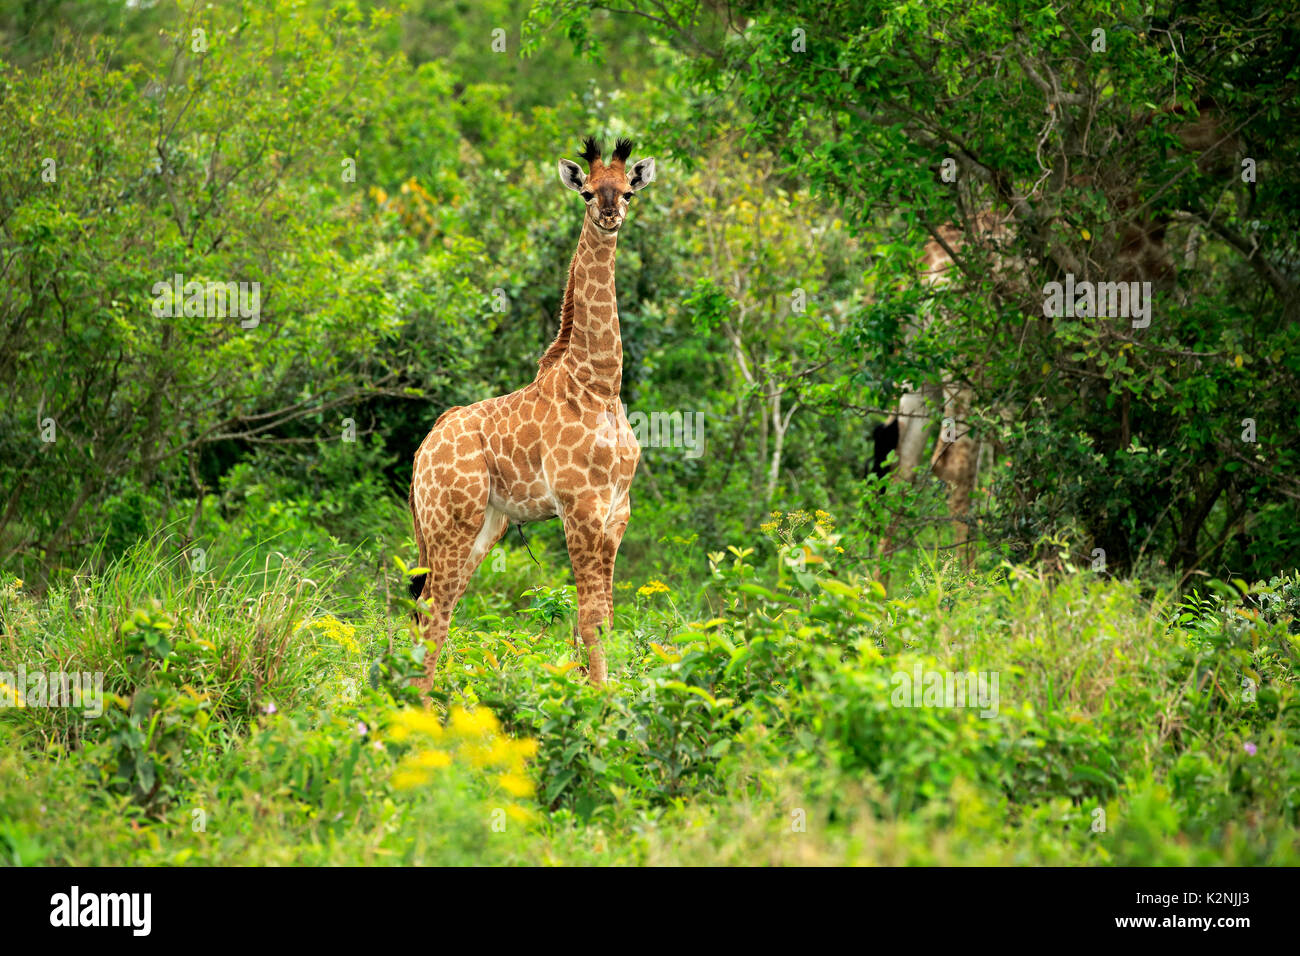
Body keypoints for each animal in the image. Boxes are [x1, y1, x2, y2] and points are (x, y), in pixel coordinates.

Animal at [405, 136, 655, 686]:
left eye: (628, 190)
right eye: (587, 192)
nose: (610, 215)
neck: (600, 384)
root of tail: (421, 451)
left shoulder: (618, 512)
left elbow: (606, 618)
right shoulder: (579, 507)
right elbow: (589, 618)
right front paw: (598, 701)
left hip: (484, 525)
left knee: (437, 605)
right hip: (450, 519)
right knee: (432, 607)